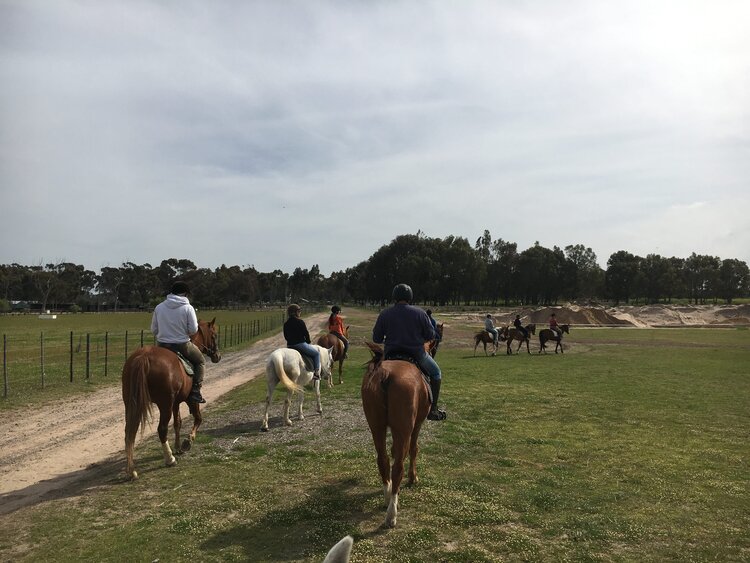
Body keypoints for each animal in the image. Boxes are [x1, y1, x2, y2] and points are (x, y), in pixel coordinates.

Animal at [122, 318, 221, 480]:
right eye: (214, 335)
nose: (217, 356)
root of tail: (143, 357)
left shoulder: (176, 402)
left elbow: (177, 423)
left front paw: (178, 446)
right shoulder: (190, 400)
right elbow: (198, 418)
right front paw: (187, 441)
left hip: (132, 404)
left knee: (129, 432)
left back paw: (131, 470)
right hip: (164, 405)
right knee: (161, 430)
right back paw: (169, 459)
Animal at [361, 341, 431, 528]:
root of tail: (384, 373)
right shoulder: (416, 425)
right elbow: (414, 449)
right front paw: (413, 477)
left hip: (376, 426)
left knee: (383, 460)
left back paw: (388, 496)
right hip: (403, 428)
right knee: (398, 466)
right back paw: (391, 513)